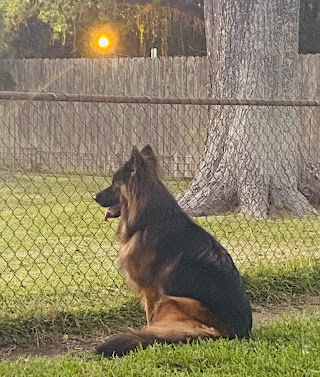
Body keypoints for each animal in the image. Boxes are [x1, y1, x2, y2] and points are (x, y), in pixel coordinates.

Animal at [93, 144, 252, 356]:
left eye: (114, 183)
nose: (94, 197)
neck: (149, 220)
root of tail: (233, 334)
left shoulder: (151, 292)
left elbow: (150, 318)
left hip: (172, 300)